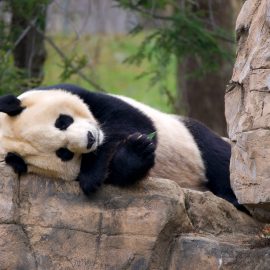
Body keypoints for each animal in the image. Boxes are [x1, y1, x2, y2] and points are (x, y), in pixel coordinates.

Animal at [0, 83, 245, 212]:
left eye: (62, 121)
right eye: (64, 153)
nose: (90, 138)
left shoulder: (84, 95)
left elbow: (130, 122)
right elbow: (120, 175)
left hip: (192, 139)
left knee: (219, 158)